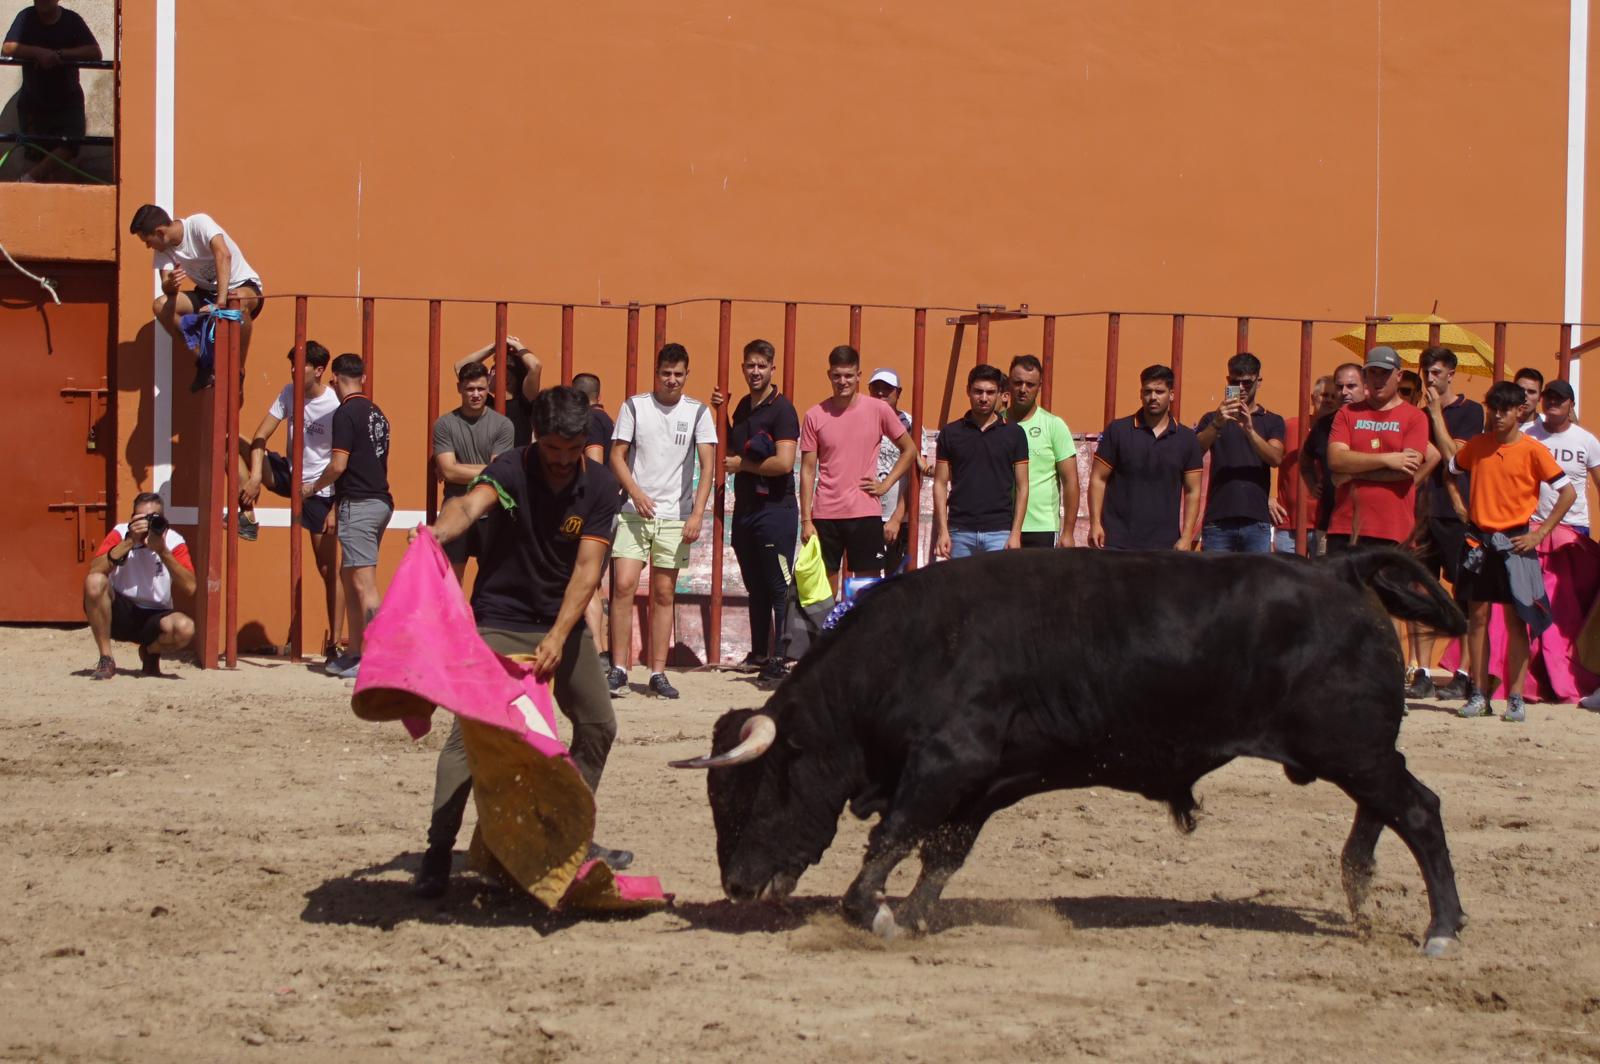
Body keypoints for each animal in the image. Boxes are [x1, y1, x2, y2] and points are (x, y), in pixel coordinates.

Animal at [675, 547, 1472, 953]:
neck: (907, 651)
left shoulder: (949, 765)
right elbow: (941, 855)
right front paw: (913, 916)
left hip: (1350, 745)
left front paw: (874, 914)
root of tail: (1339, 567)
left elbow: (892, 841)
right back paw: (1360, 892)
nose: (736, 886)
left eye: (757, 788)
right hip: (1354, 750)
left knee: (1419, 809)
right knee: (1382, 811)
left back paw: (1439, 929)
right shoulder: (982, 784)